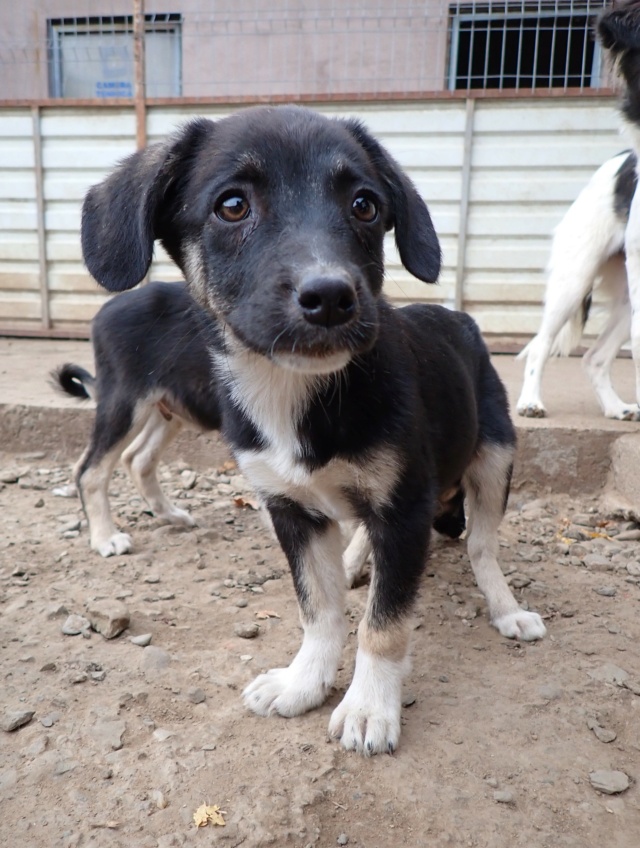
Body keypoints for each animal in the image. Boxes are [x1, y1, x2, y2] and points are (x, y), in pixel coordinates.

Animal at [51, 282, 220, 560]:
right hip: (127, 401)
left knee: (137, 458)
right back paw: (105, 538)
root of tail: (106, 309)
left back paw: (169, 514)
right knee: (90, 471)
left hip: (168, 408)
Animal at [79, 104, 544, 756]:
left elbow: (383, 624)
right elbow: (318, 609)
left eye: (365, 206)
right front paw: (305, 681)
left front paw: (369, 708)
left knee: (482, 546)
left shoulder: (404, 506)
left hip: (496, 453)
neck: (297, 392)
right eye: (232, 205)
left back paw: (504, 608)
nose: (330, 296)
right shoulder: (290, 508)